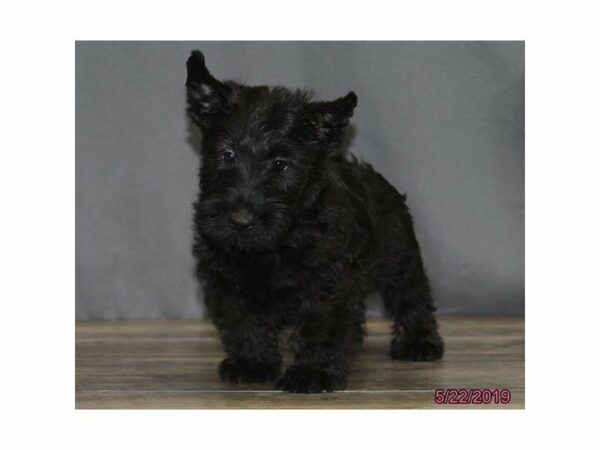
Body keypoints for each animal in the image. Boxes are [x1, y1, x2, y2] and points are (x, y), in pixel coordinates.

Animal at [185, 50, 442, 394]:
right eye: (226, 154)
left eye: (281, 164)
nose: (240, 221)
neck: (276, 243)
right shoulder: (224, 278)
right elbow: (243, 322)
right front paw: (252, 363)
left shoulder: (327, 284)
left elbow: (322, 326)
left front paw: (312, 372)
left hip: (399, 255)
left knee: (411, 294)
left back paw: (419, 342)